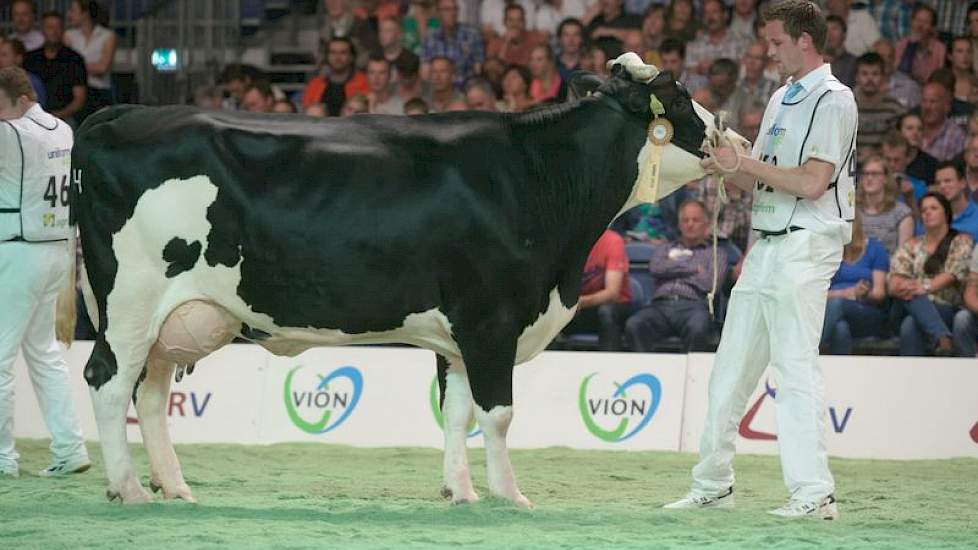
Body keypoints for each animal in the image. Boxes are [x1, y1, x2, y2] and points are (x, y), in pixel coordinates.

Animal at [66, 54, 740, 506]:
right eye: (680, 99)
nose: (733, 135)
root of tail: (119, 112)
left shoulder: (463, 333)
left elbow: (458, 412)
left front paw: (461, 492)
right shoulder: (492, 320)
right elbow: (497, 415)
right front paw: (509, 496)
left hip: (168, 317)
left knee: (150, 395)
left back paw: (174, 487)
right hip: (131, 302)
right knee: (106, 381)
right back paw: (130, 489)